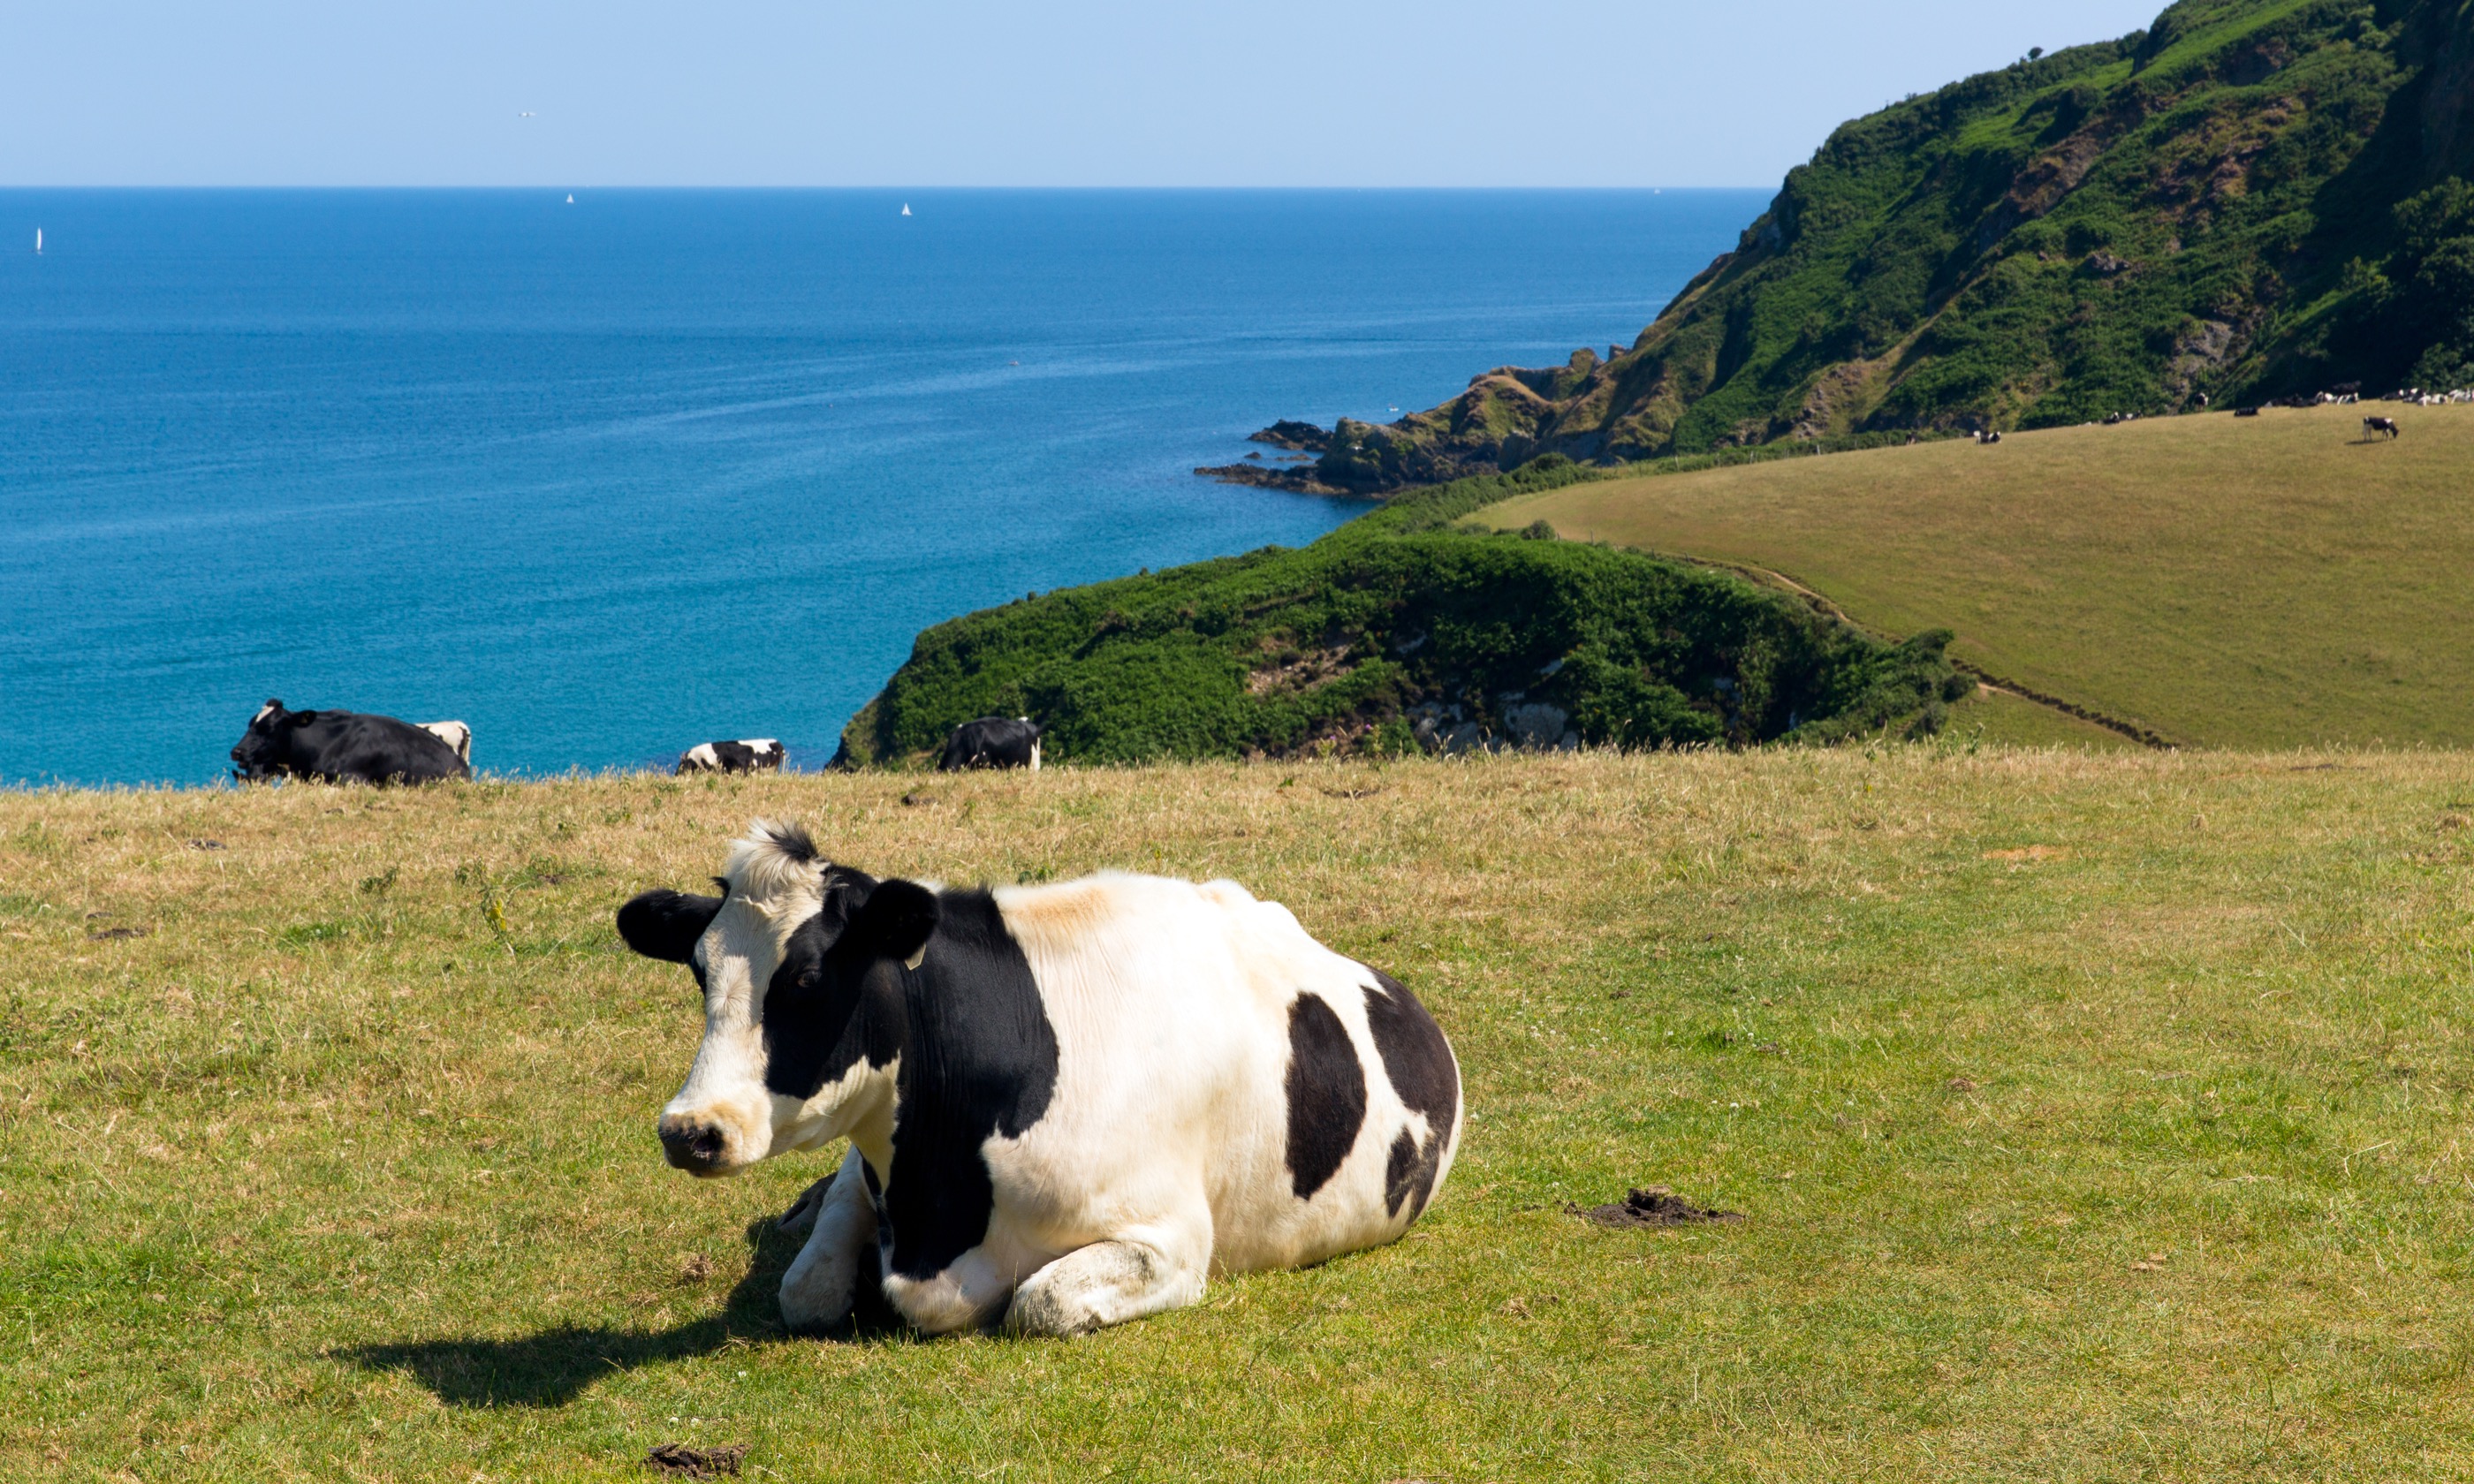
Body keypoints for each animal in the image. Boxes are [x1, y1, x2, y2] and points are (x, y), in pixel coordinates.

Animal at [618, 816, 1454, 1336]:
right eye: (699, 972)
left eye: (806, 979)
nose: (691, 1131)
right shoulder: (872, 1170)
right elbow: (807, 1289)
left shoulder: (1174, 1241)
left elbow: (1037, 1304)